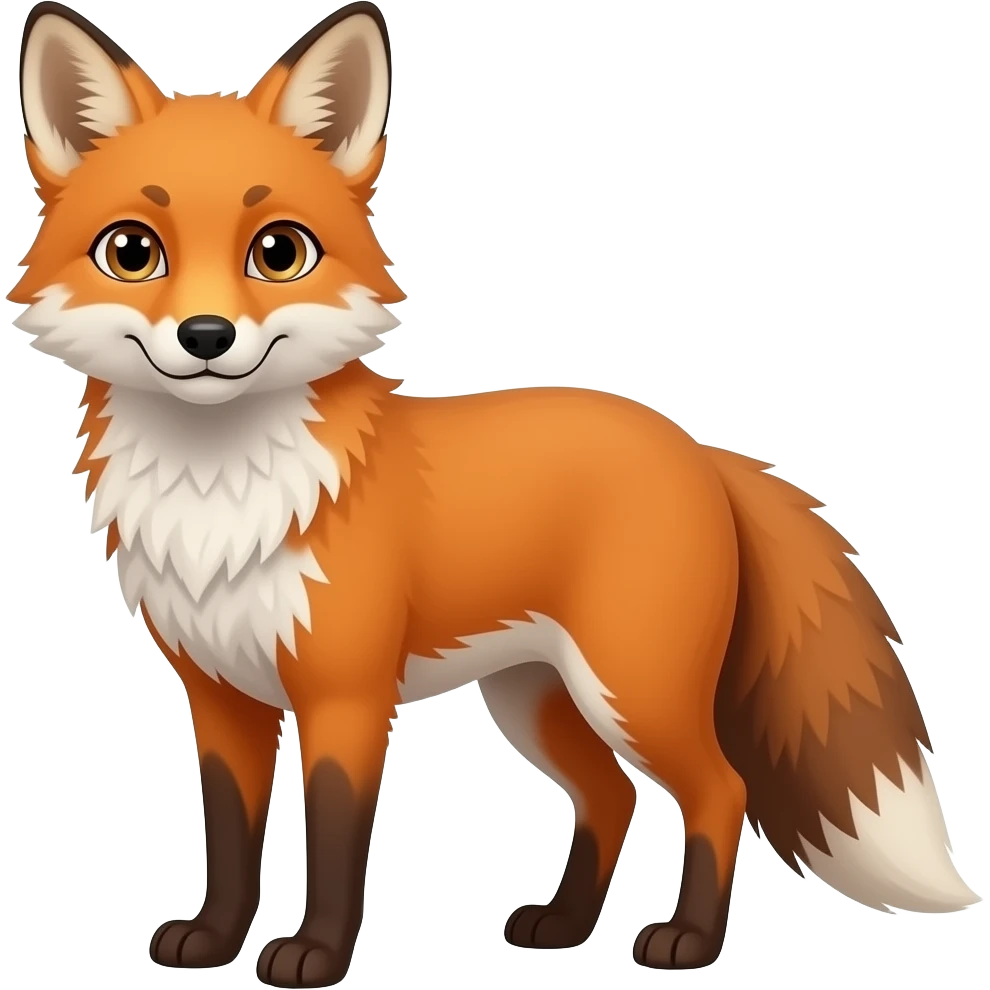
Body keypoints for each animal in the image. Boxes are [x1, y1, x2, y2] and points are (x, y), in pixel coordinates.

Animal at [9, 1, 984, 987]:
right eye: (133, 252)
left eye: (278, 252)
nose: (206, 337)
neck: (220, 494)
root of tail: (695, 446)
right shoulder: (220, 695)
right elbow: (231, 834)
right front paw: (212, 940)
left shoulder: (346, 693)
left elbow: (334, 839)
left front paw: (317, 954)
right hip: (538, 699)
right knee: (613, 796)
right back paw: (564, 926)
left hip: (634, 688)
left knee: (720, 790)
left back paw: (687, 943)